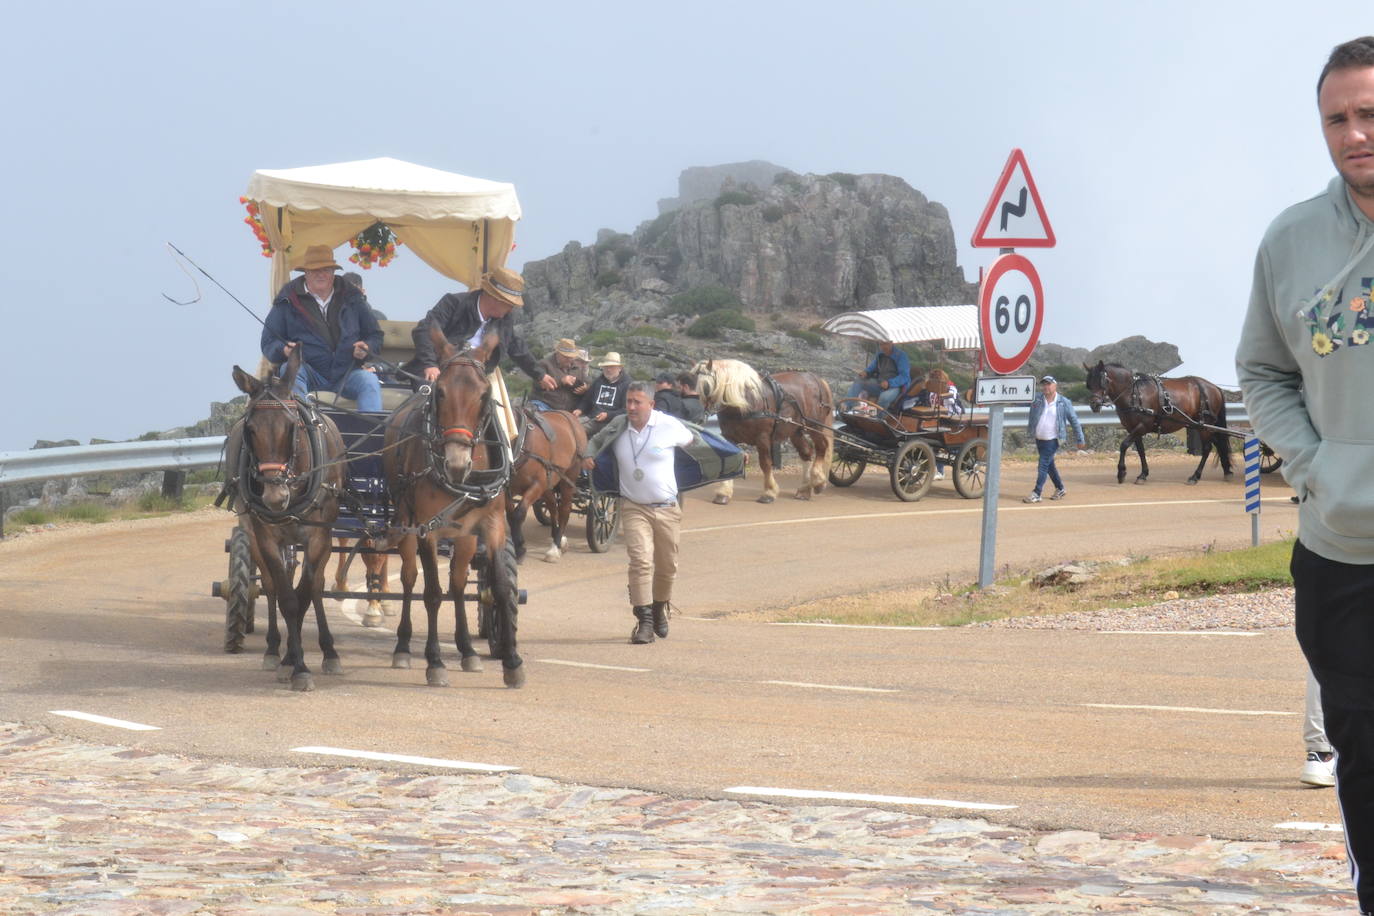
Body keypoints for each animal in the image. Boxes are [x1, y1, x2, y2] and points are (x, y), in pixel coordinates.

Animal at [225, 347, 343, 692]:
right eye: (250, 429)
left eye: (293, 427)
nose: (274, 497)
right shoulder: (265, 536)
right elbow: (287, 598)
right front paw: (296, 664)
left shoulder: (319, 536)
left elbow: (305, 594)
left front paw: (303, 659)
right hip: (255, 534)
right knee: (272, 587)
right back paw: (274, 650)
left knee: (315, 587)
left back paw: (328, 651)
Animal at [381, 330, 524, 686]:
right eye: (441, 392)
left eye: (485, 393)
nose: (457, 463)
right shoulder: (426, 528)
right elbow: (431, 592)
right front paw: (434, 662)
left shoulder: (492, 524)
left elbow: (501, 587)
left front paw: (512, 661)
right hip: (406, 522)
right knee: (409, 577)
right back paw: (403, 646)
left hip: (464, 534)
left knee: (458, 584)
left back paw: (468, 651)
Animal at [508, 409, 588, 565]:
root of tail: (570, 416)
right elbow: (510, 516)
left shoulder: (537, 484)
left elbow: (518, 514)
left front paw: (520, 550)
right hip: (549, 482)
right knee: (552, 505)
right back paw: (559, 538)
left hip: (568, 478)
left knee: (564, 509)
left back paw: (555, 548)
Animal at [692, 357, 829, 505]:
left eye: (706, 387)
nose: (699, 418)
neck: (745, 402)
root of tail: (816, 378)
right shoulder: (729, 437)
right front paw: (723, 493)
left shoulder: (762, 437)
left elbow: (765, 464)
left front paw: (769, 492)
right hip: (795, 431)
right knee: (806, 453)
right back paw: (804, 490)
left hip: (815, 426)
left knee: (821, 447)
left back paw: (818, 481)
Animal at [1082, 359, 1236, 483]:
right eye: (1089, 384)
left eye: (1102, 382)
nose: (1094, 405)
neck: (1134, 394)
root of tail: (1215, 387)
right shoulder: (1133, 428)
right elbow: (1141, 450)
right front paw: (1143, 474)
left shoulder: (1142, 426)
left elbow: (1124, 445)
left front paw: (1121, 472)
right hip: (1203, 425)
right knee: (1219, 443)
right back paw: (1227, 471)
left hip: (1204, 424)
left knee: (1207, 448)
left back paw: (1195, 476)